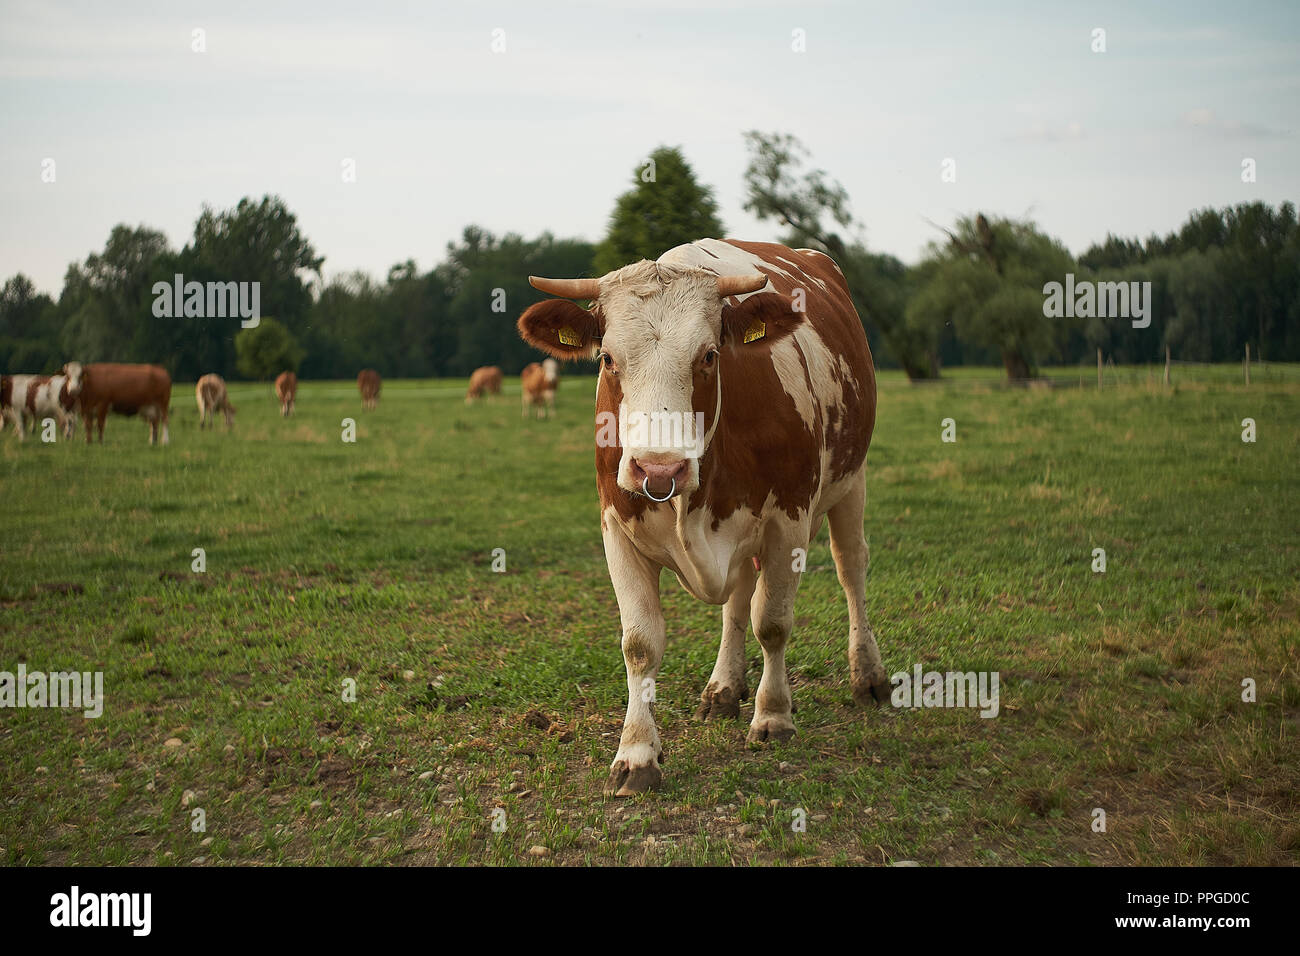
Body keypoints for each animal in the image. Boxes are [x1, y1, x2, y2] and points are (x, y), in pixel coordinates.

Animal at [517, 238, 888, 796]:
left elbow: (772, 622)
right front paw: (636, 754)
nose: (658, 467)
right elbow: (640, 643)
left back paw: (868, 676)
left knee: (851, 569)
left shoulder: (789, 522)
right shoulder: (615, 528)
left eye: (709, 355)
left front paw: (773, 716)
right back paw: (723, 689)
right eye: (607, 358)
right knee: (736, 599)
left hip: (852, 480)